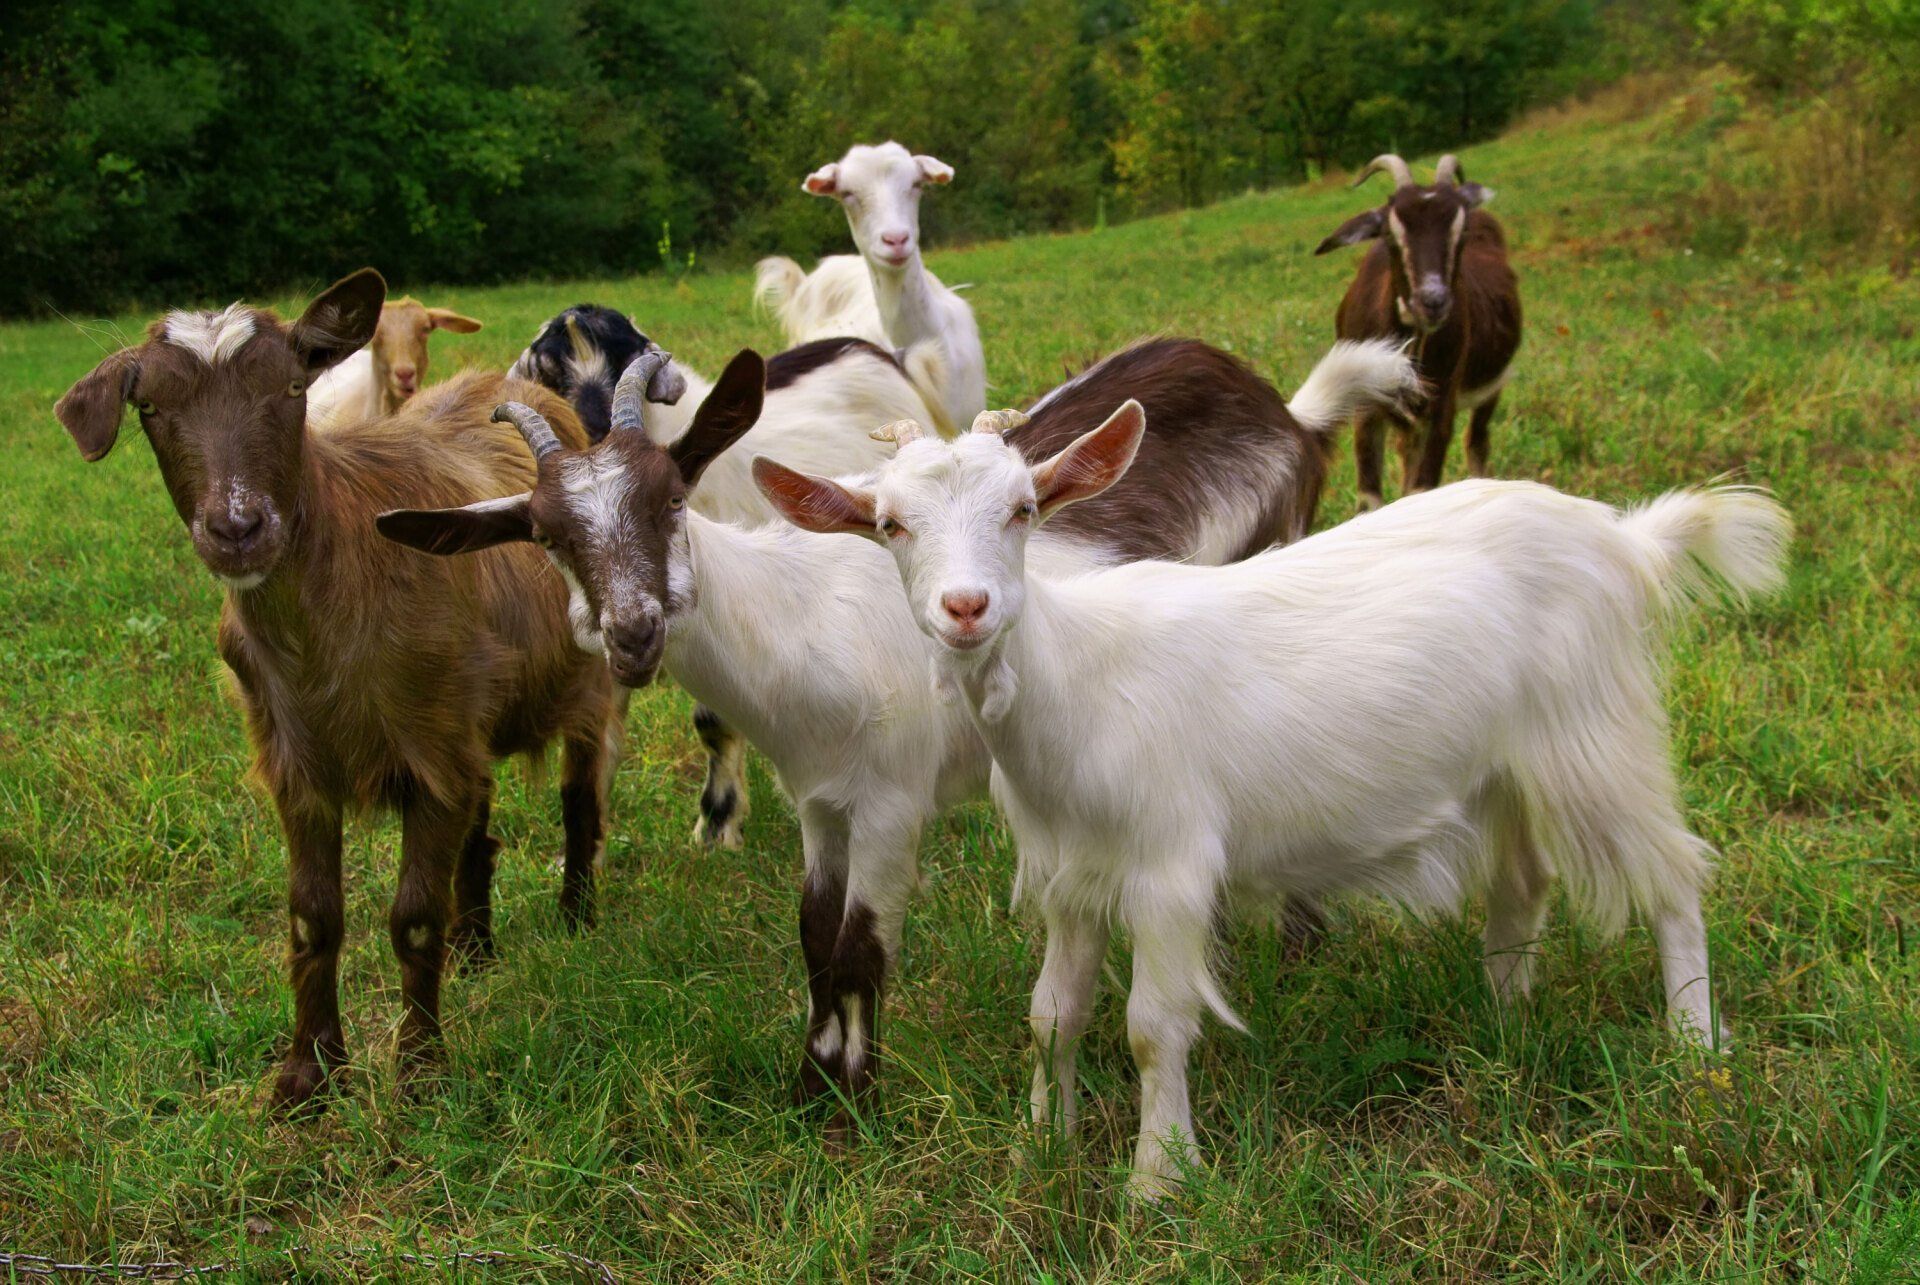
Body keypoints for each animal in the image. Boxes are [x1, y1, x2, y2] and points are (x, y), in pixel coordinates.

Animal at [380, 338, 1416, 1134]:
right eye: (548, 534)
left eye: (671, 497)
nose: (632, 632)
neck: (799, 620)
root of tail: (1285, 409)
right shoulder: (820, 797)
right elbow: (811, 934)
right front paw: (811, 1084)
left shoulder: (890, 799)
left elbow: (859, 946)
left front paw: (854, 1099)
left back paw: (1297, 947)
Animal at [759, 404, 1789, 1198]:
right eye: (890, 524)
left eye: (1023, 509)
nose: (967, 608)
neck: (1078, 684)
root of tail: (1625, 539)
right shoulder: (1069, 872)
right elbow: (1052, 1015)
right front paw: (1039, 1148)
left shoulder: (1169, 865)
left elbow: (1152, 1026)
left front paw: (1159, 1181)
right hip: (1508, 761)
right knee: (1525, 878)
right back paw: (1504, 1018)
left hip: (1593, 732)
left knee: (1673, 875)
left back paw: (1695, 1046)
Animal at [1315, 153, 1522, 510]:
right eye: (1389, 234)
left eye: (1461, 233)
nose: (1432, 301)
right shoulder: (1366, 411)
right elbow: (1369, 499)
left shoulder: (1441, 405)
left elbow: (1421, 488)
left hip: (1492, 386)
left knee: (1477, 441)